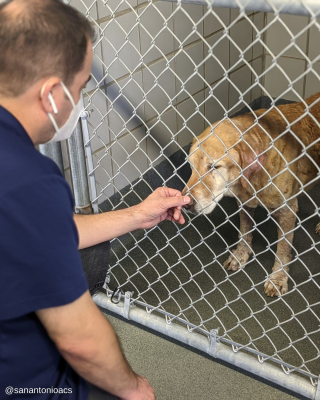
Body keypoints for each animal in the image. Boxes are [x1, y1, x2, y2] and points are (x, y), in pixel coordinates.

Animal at [181, 93, 320, 296]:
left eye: (214, 167)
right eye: (191, 166)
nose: (186, 204)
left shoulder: (288, 211)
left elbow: (283, 248)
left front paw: (278, 278)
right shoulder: (245, 201)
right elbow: (245, 231)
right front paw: (240, 255)